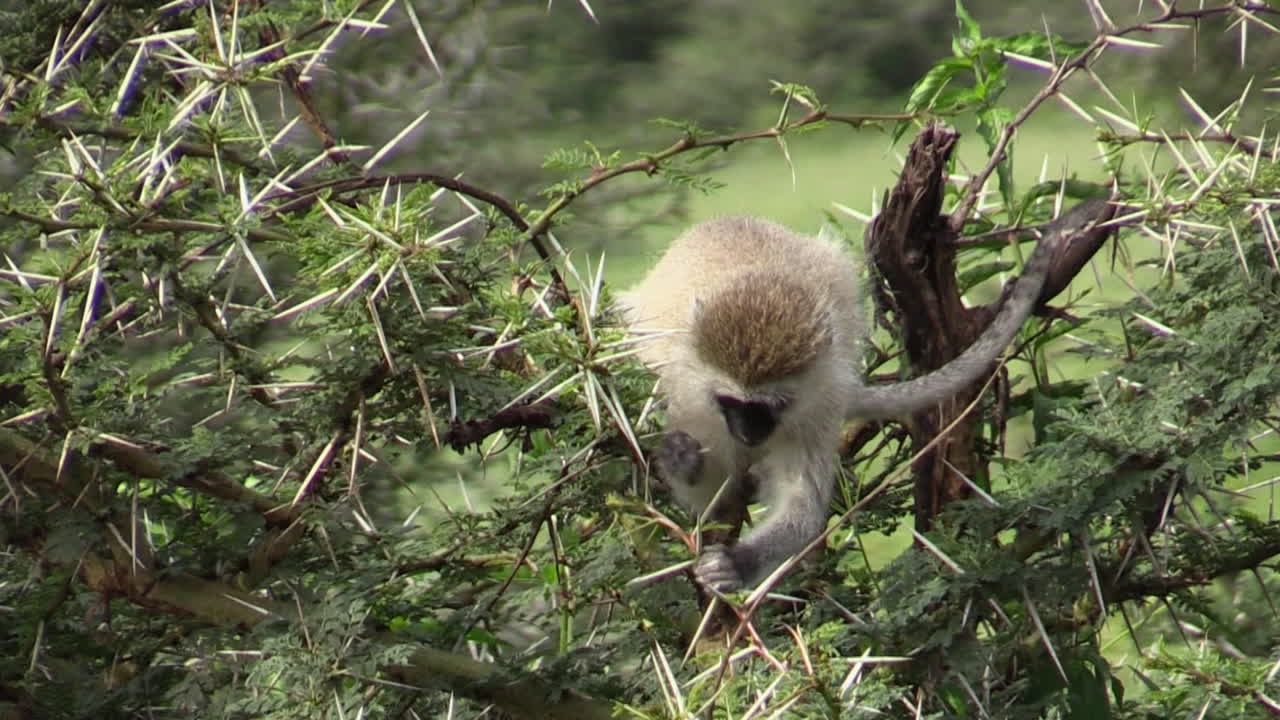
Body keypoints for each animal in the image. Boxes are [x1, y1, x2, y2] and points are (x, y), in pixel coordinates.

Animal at [621, 211, 1078, 592]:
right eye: (729, 401)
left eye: (771, 405)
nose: (747, 433)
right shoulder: (692, 400)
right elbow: (713, 504)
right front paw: (682, 461)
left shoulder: (817, 409)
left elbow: (802, 510)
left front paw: (736, 563)